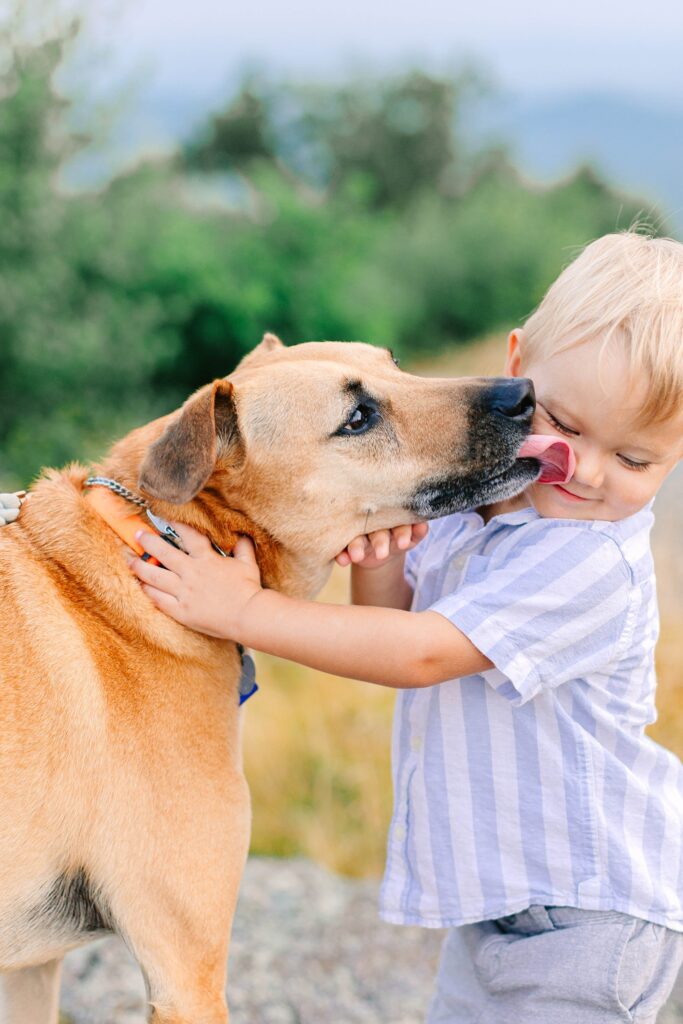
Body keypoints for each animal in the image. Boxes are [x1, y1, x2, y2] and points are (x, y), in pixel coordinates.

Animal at [0, 331, 540, 1019]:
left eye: (394, 364)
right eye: (357, 419)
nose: (524, 394)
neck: (151, 536)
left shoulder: (31, 969)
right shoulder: (187, 974)